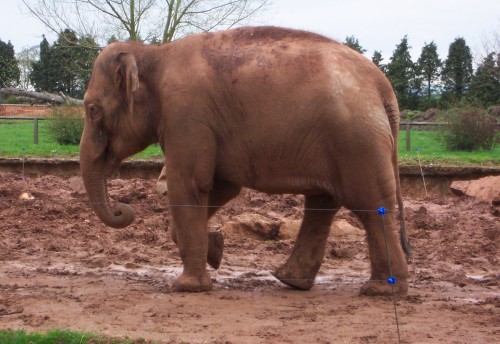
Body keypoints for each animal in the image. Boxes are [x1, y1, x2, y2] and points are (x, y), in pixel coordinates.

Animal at [81, 26, 410, 296]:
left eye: (92, 109)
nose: (124, 208)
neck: (153, 52)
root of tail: (384, 87)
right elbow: (222, 186)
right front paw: (216, 250)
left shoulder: (186, 113)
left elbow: (189, 183)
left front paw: (187, 287)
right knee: (322, 204)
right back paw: (292, 281)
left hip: (355, 141)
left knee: (369, 204)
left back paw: (380, 290)